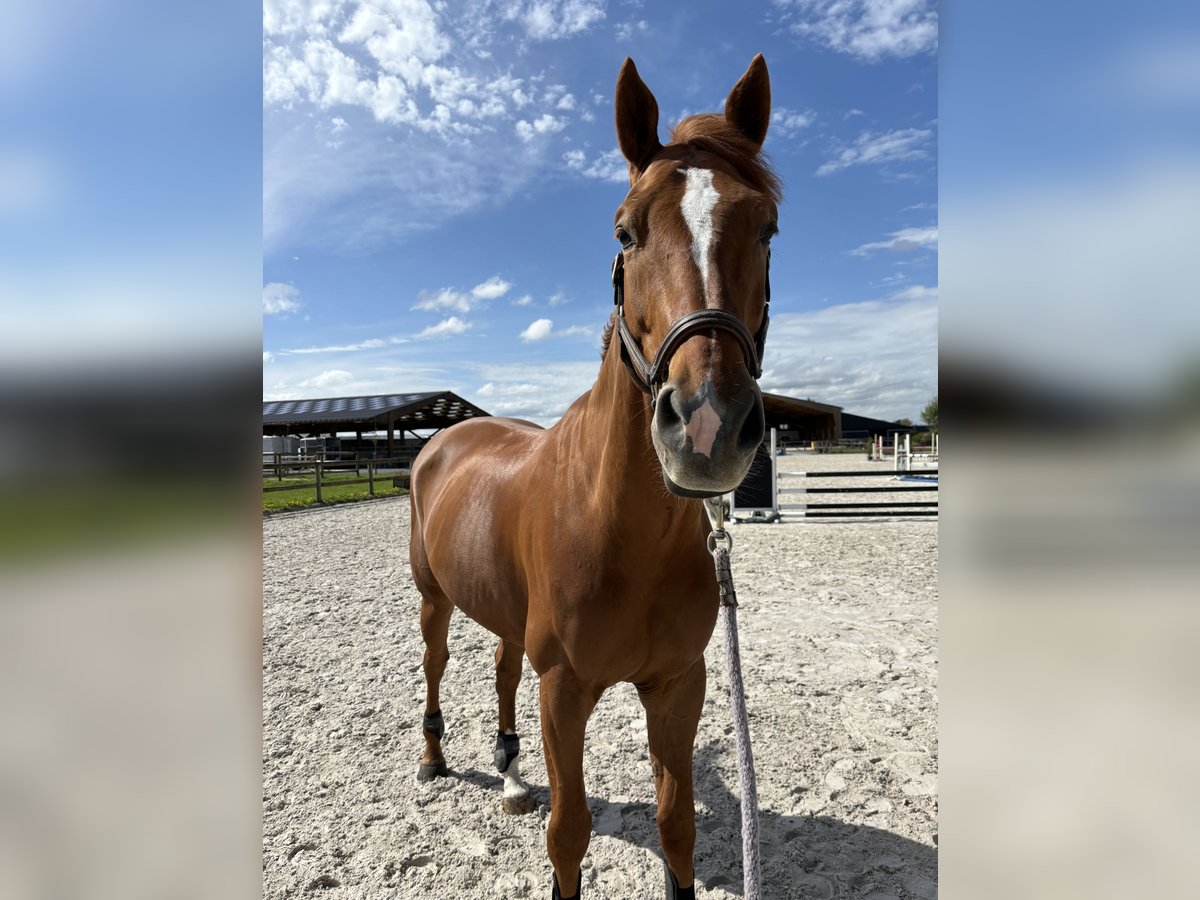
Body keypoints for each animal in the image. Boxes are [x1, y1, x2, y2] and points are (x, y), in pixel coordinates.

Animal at [410, 58, 777, 900]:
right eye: (625, 231)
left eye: (767, 228)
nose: (707, 425)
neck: (618, 528)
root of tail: (446, 436)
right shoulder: (566, 691)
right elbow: (570, 832)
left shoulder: (677, 685)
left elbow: (676, 826)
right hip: (434, 598)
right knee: (436, 665)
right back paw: (434, 757)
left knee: (501, 671)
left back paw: (512, 775)